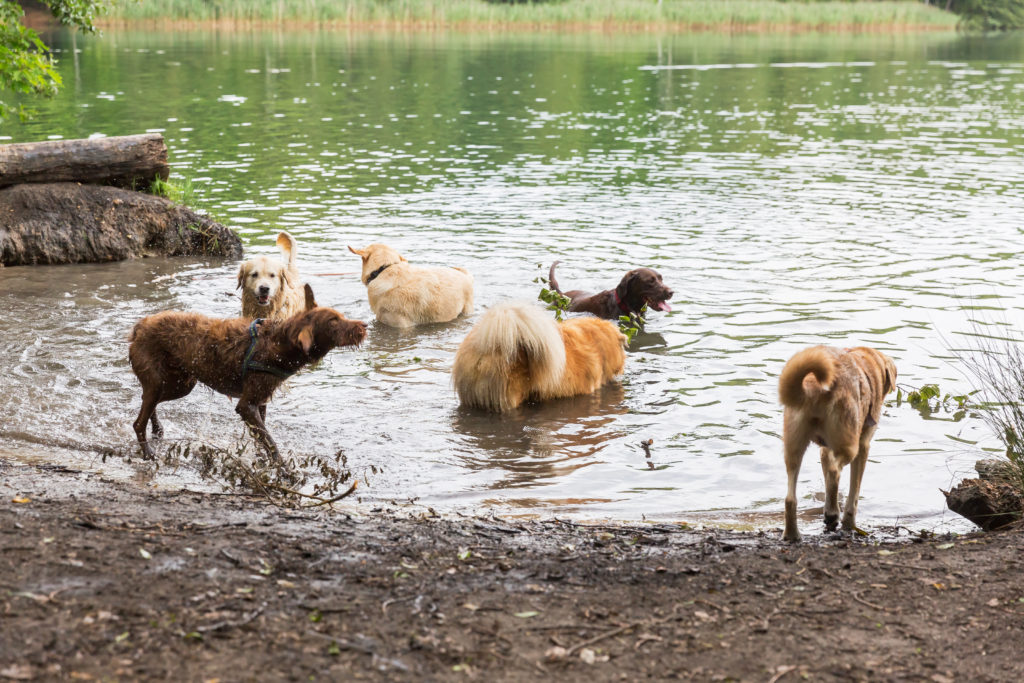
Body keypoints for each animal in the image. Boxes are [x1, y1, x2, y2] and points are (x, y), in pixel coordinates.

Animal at [130, 282, 364, 458]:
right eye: (333, 321)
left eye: (340, 315)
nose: (364, 326)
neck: (279, 344)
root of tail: (139, 326)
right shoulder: (246, 405)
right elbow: (270, 442)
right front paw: (284, 471)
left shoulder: (260, 401)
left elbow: (261, 438)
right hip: (161, 381)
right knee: (138, 422)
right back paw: (148, 452)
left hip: (181, 384)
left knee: (148, 404)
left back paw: (157, 430)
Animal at [774, 348, 897, 544]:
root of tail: (813, 388)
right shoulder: (863, 447)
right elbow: (854, 495)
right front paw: (848, 523)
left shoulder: (825, 450)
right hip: (850, 446)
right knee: (834, 472)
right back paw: (833, 516)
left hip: (793, 447)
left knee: (790, 498)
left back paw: (793, 534)